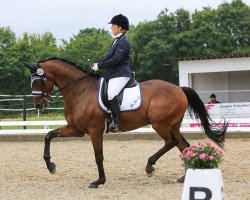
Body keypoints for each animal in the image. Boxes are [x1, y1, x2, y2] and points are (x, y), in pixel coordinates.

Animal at [23, 57, 229, 188]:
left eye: (38, 81)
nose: (38, 104)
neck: (80, 91)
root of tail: (179, 88)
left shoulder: (94, 130)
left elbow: (98, 156)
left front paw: (99, 181)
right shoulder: (75, 129)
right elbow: (48, 135)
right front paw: (51, 166)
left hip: (160, 124)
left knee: (171, 142)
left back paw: (150, 166)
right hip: (172, 125)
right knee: (183, 145)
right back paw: (185, 176)